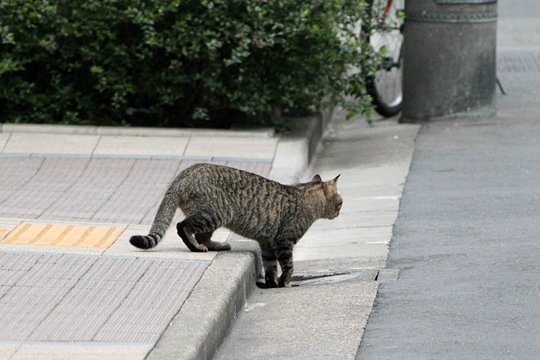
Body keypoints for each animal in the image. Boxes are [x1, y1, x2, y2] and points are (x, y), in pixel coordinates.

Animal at [130, 163, 342, 286]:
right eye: (340, 202)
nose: (339, 211)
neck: (306, 197)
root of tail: (183, 175)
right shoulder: (284, 241)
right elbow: (288, 266)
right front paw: (285, 283)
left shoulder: (268, 244)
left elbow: (270, 267)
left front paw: (272, 283)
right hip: (214, 214)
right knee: (184, 227)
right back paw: (196, 247)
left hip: (213, 218)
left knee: (202, 235)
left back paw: (217, 245)